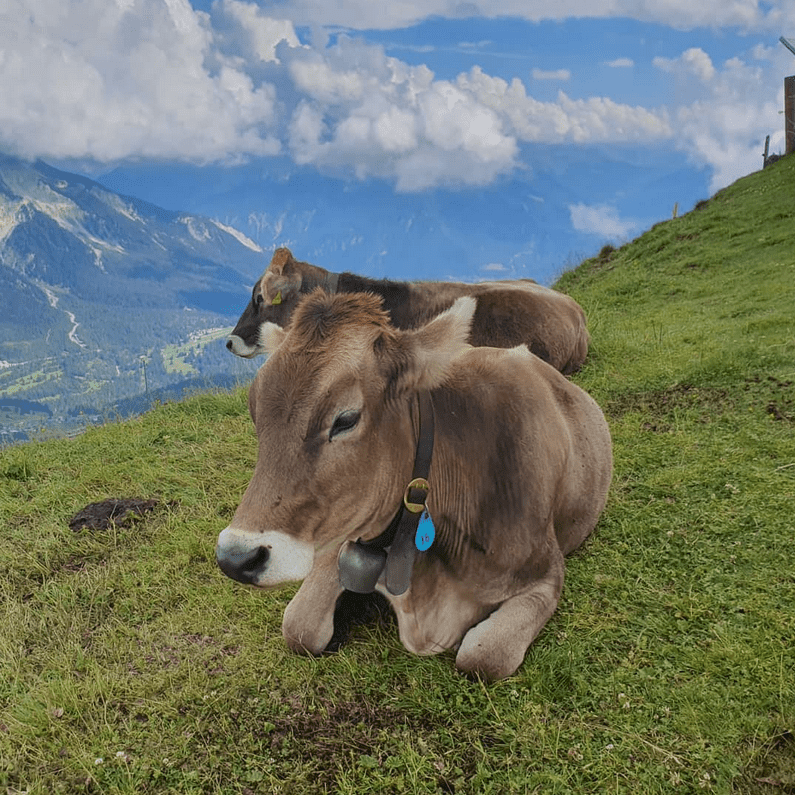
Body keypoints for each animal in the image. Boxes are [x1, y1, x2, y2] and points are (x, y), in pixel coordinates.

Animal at [215, 290, 612, 680]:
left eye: (346, 419)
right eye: (255, 412)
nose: (236, 558)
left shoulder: (546, 575)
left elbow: (484, 656)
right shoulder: (339, 540)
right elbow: (300, 628)